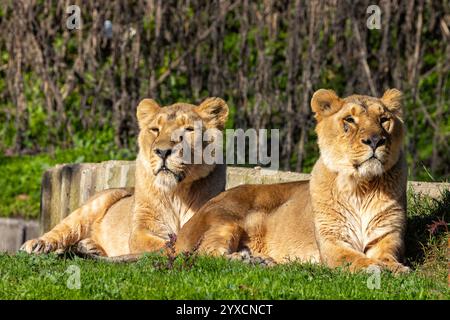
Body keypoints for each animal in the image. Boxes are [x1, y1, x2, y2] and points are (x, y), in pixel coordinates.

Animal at [21, 96, 229, 256]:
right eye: (155, 129)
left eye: (188, 130)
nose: (162, 152)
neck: (177, 193)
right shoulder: (141, 229)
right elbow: (160, 243)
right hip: (92, 206)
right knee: (63, 229)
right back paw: (38, 244)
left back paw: (89, 247)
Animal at [177, 88, 412, 272]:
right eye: (349, 120)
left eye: (384, 120)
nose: (375, 140)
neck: (362, 186)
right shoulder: (331, 241)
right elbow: (355, 258)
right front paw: (380, 268)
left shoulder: (388, 236)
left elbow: (386, 256)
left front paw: (396, 268)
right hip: (225, 221)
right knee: (205, 255)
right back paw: (247, 261)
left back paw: (258, 260)